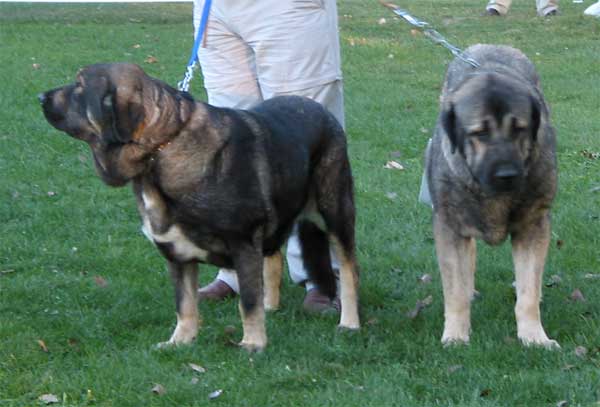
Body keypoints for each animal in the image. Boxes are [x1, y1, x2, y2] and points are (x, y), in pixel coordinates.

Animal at [426, 45, 556, 350]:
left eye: (520, 128)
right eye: (480, 133)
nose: (507, 174)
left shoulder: (533, 224)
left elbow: (528, 290)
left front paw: (534, 337)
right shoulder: (449, 227)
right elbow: (455, 291)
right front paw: (456, 335)